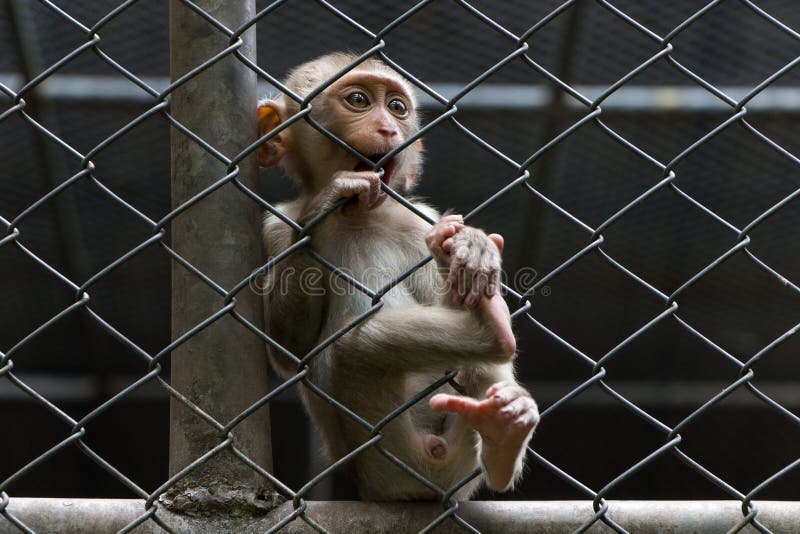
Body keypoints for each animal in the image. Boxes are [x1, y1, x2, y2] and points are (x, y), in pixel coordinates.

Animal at [257, 53, 538, 501]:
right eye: (358, 100)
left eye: (396, 107)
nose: (389, 127)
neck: (361, 216)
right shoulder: (276, 227)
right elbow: (289, 350)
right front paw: (329, 199)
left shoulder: (416, 220)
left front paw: (468, 245)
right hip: (383, 460)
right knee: (359, 346)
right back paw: (494, 346)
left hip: (459, 453)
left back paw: (502, 433)